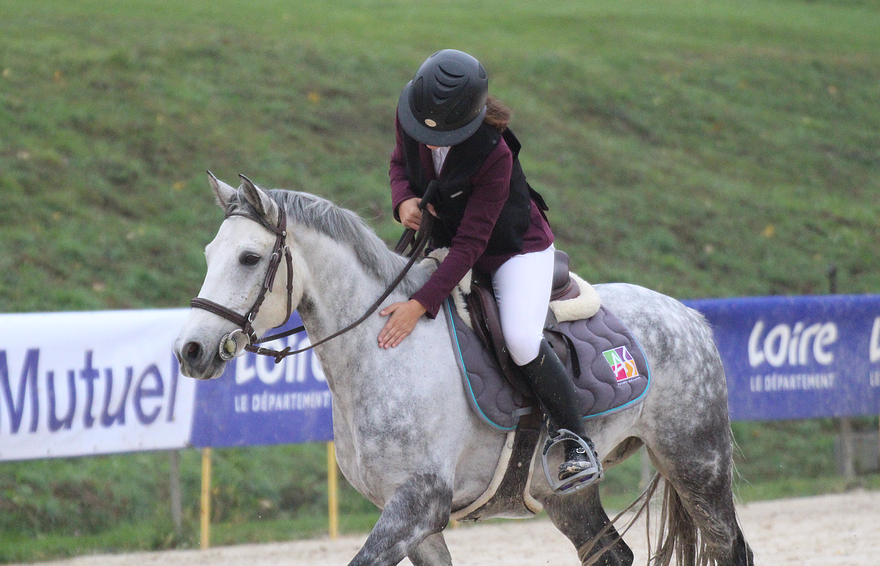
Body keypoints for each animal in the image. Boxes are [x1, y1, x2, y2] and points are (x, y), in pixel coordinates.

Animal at [174, 174, 756, 566]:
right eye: (207, 253)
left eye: (249, 258)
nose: (190, 351)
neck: (382, 353)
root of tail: (689, 315)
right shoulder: (415, 520)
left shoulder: (417, 506)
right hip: (566, 495)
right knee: (610, 553)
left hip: (697, 463)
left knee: (731, 547)